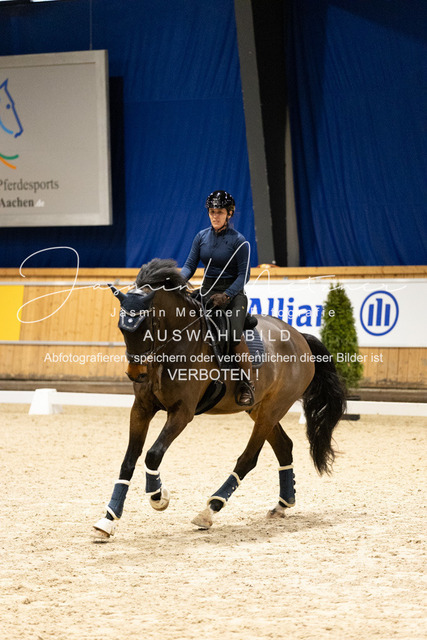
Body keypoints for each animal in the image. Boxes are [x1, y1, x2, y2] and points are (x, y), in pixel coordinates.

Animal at [93, 259, 346, 539]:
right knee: (284, 447)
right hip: (259, 410)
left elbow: (153, 454)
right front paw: (108, 519)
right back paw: (282, 504)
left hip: (272, 409)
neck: (174, 345)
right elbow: (129, 460)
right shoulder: (141, 408)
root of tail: (300, 337)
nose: (136, 374)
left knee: (248, 459)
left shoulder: (182, 412)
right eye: (121, 328)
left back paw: (209, 510)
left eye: (147, 326)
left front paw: (158, 496)